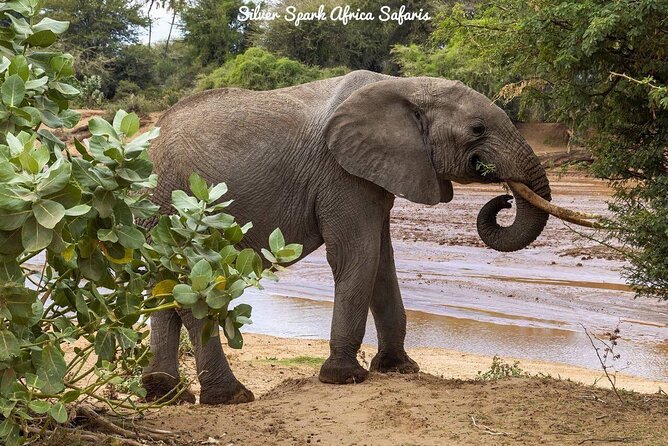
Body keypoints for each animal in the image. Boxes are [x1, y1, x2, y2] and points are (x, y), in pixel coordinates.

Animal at [140, 70, 582, 405]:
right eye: (477, 129)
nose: (503, 198)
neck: (405, 86)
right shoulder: (341, 173)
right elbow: (358, 255)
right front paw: (345, 377)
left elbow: (382, 262)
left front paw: (399, 369)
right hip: (176, 200)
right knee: (190, 287)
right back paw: (229, 397)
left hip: (160, 207)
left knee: (165, 285)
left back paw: (166, 395)